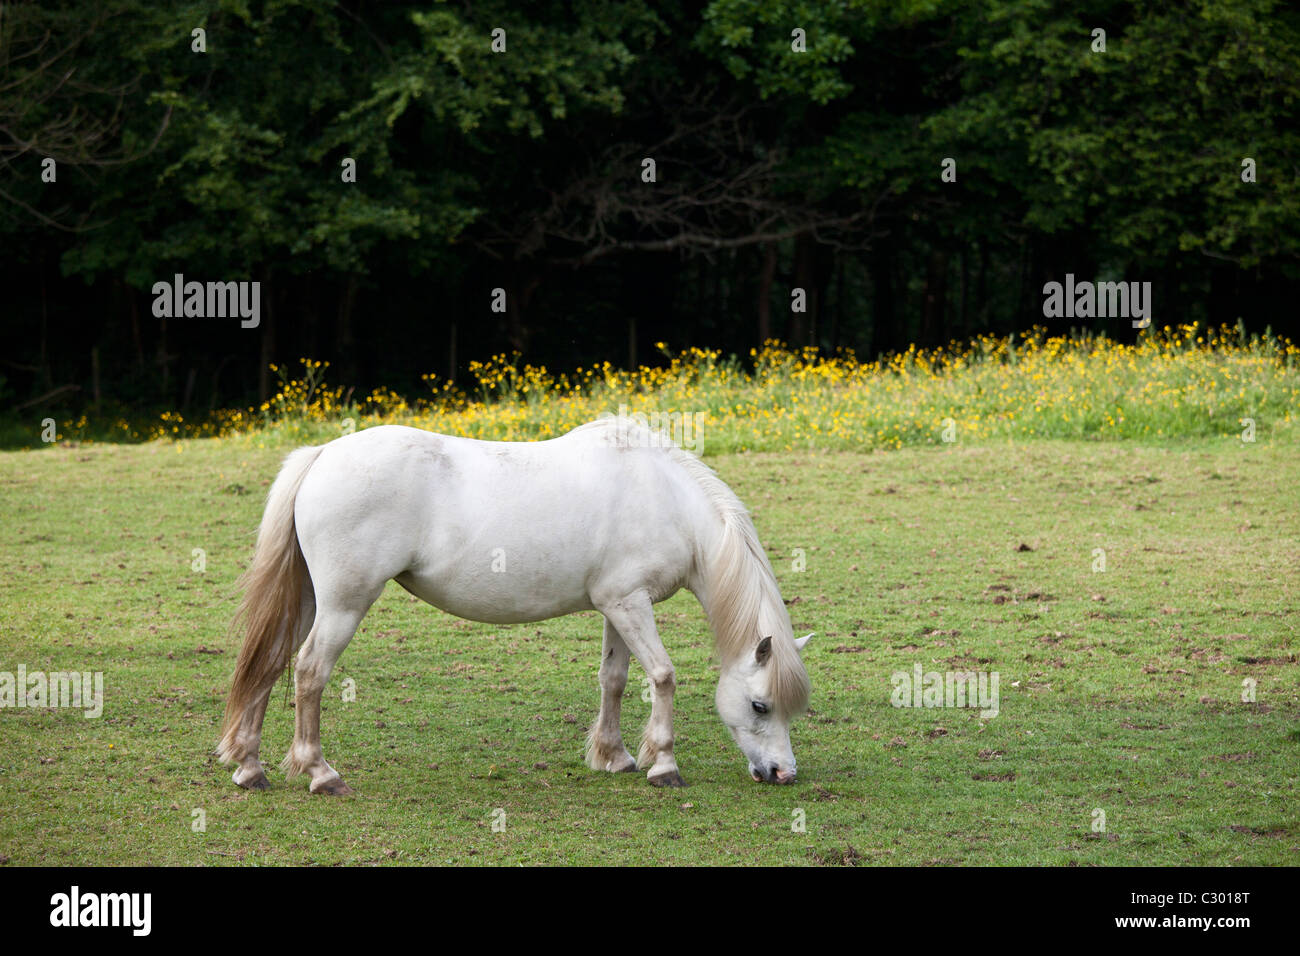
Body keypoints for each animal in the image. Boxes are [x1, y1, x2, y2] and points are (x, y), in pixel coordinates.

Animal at [220, 418, 811, 790]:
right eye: (760, 705)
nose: (784, 774)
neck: (664, 497)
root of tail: (321, 455)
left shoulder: (618, 606)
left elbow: (615, 680)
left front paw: (614, 756)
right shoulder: (630, 604)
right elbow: (662, 676)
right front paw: (662, 764)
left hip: (307, 602)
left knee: (269, 665)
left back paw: (250, 768)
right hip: (344, 605)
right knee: (310, 672)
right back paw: (321, 774)